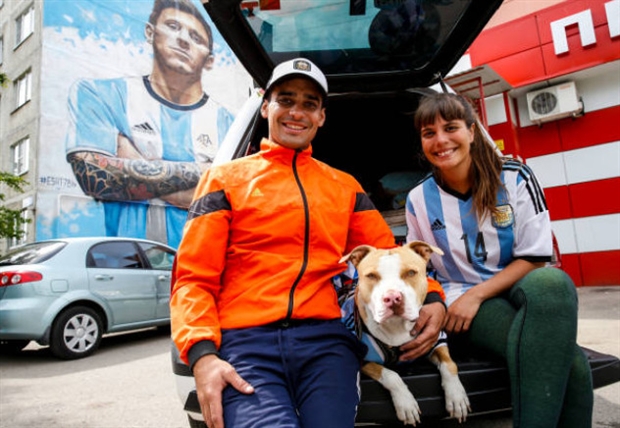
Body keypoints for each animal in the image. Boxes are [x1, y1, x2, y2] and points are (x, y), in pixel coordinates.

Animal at [340, 241, 470, 424]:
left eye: (411, 273)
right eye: (371, 276)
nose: (393, 298)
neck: (396, 327)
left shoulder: (434, 342)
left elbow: (449, 364)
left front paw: (457, 398)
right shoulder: (362, 359)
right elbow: (391, 375)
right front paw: (406, 404)